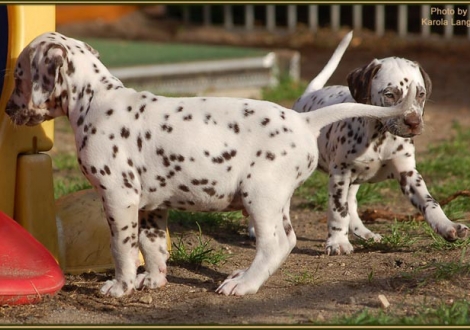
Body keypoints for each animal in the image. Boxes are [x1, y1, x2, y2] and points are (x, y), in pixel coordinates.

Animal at [6, 32, 414, 298]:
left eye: (19, 75)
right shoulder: (152, 206)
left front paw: (121, 286)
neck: (95, 99)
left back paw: (244, 284)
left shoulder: (118, 197)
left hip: (260, 196)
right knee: (287, 239)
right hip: (276, 199)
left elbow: (122, 247)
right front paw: (152, 280)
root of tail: (303, 120)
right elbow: (152, 247)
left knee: (274, 243)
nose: (8, 109)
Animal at [294, 31, 466, 255]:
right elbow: (338, 210)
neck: (380, 138)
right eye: (390, 94)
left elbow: (430, 202)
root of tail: (308, 95)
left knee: (352, 204)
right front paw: (338, 241)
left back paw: (365, 233)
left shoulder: (409, 174)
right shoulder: (340, 174)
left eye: (420, 94)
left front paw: (447, 226)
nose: (413, 123)